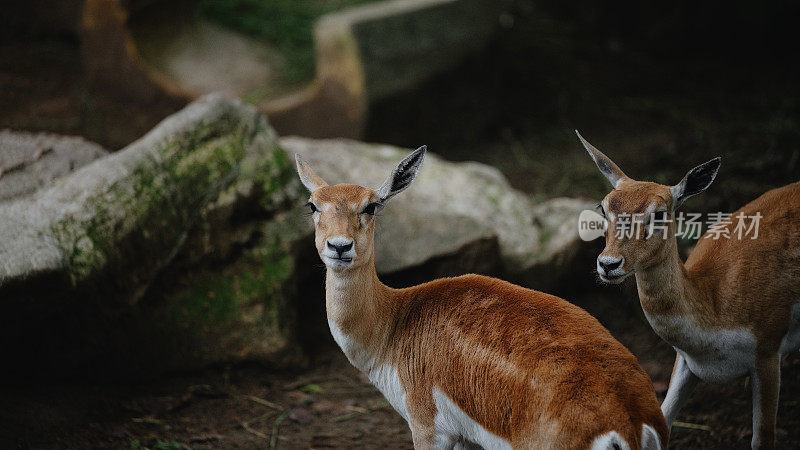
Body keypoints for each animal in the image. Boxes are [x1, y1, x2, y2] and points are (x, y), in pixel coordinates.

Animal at [296, 146, 664, 448]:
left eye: (371, 206)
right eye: (313, 205)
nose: (339, 246)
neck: (393, 326)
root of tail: (629, 423)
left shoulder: (430, 428)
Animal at [580, 132, 800, 450]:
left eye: (659, 214)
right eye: (603, 207)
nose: (608, 264)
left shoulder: (769, 352)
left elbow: (762, 439)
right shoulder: (686, 361)